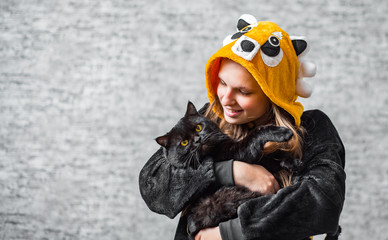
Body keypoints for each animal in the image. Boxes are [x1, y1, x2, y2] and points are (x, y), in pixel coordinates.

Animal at [155, 102, 294, 239]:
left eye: (198, 128)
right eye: (184, 142)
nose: (197, 139)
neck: (213, 151)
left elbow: (272, 156)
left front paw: (290, 160)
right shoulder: (239, 153)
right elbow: (256, 134)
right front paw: (283, 133)